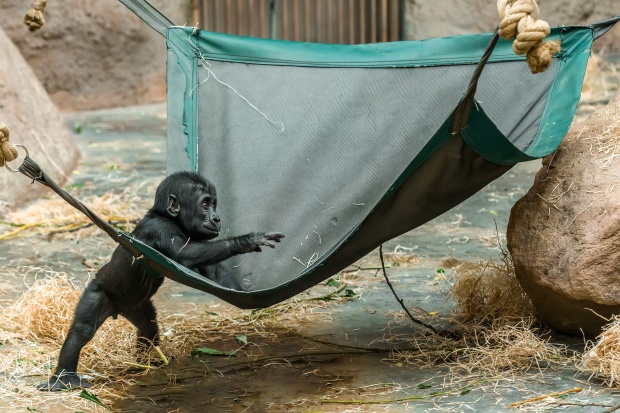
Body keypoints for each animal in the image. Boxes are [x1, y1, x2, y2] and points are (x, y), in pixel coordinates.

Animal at [40, 171, 286, 390]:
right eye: (206, 204)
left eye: (214, 204)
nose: (216, 218)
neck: (170, 218)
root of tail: (118, 310)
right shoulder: (159, 229)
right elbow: (184, 254)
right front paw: (248, 241)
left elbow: (212, 269)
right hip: (100, 291)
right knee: (82, 329)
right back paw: (64, 378)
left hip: (135, 307)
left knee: (149, 328)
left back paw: (145, 362)